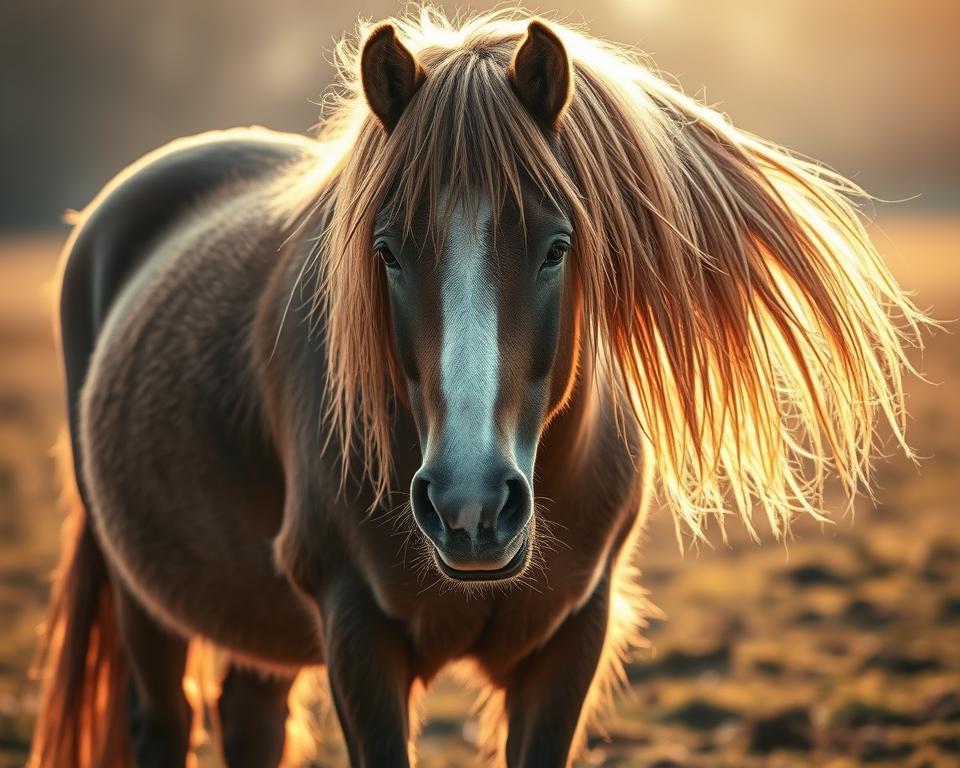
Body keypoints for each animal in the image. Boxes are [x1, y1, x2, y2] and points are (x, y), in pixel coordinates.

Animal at [29, 8, 927, 767]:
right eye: (386, 251)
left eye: (558, 245)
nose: (471, 508)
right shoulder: (356, 632)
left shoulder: (572, 637)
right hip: (144, 597)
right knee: (163, 720)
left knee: (250, 718)